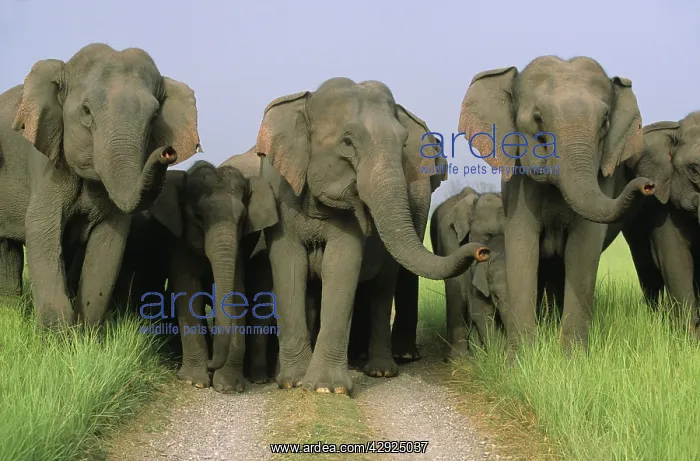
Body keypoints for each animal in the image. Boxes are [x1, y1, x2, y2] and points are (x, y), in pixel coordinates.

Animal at [0, 43, 201, 329]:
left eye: (154, 117)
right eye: (86, 111)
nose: (167, 151)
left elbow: (110, 242)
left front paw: (86, 333)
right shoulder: (45, 163)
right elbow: (41, 228)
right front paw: (57, 336)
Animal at [226, 77, 490, 394]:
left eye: (403, 144)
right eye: (347, 143)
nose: (482, 250)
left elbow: (341, 265)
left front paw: (326, 388)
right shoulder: (280, 190)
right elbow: (290, 265)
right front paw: (293, 382)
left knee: (385, 283)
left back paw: (382, 370)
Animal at [457, 56, 657, 352]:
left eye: (604, 122)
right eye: (538, 119)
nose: (648, 185)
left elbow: (583, 248)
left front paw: (573, 357)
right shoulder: (518, 180)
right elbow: (522, 246)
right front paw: (524, 357)